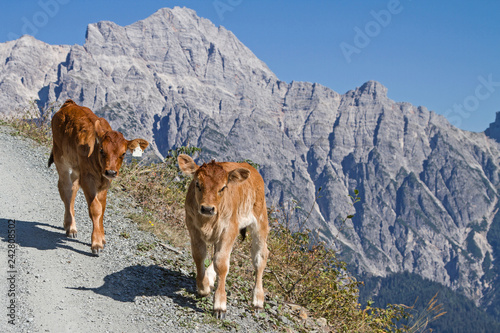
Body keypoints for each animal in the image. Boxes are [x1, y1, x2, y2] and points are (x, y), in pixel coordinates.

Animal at [48, 98, 148, 254]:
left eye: (123, 154)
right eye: (102, 150)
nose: (111, 172)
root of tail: (70, 104)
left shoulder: (105, 182)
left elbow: (102, 208)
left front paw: (102, 238)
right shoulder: (88, 179)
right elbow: (95, 209)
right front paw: (96, 243)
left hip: (76, 169)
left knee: (73, 189)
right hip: (61, 158)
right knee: (65, 189)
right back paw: (71, 227)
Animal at [177, 154, 268, 318]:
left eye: (223, 187)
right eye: (197, 184)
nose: (207, 208)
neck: (206, 222)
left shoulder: (228, 229)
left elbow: (221, 263)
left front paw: (220, 305)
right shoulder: (192, 226)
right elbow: (199, 255)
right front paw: (203, 287)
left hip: (260, 221)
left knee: (260, 257)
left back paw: (258, 300)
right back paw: (210, 278)